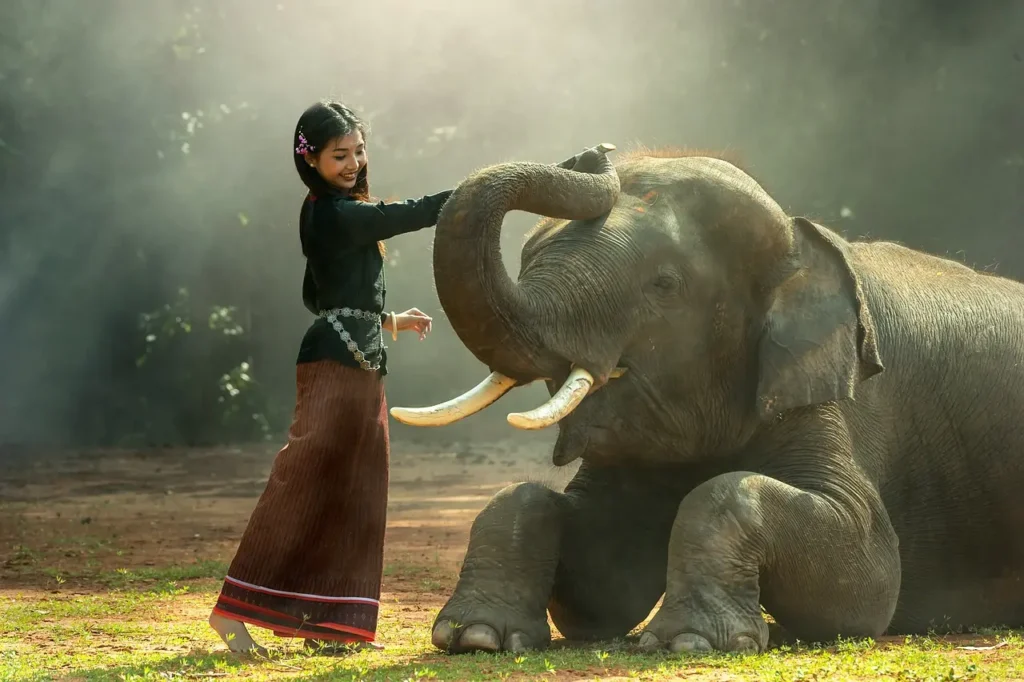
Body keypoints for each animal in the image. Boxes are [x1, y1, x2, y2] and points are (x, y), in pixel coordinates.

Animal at [387, 142, 1024, 655]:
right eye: (526, 260)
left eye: (664, 284)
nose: (595, 152)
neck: (800, 239)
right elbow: (600, 581)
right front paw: (475, 638)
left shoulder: (828, 393)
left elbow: (867, 575)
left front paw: (690, 642)